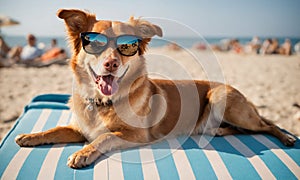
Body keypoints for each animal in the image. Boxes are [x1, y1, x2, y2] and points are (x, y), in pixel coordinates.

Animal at [15, 8, 294, 169]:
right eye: (94, 43)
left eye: (127, 46)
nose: (111, 63)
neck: (103, 103)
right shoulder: (78, 129)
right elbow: (54, 130)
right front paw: (30, 136)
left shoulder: (137, 136)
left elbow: (105, 137)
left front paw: (83, 153)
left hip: (222, 99)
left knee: (267, 125)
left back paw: (287, 138)